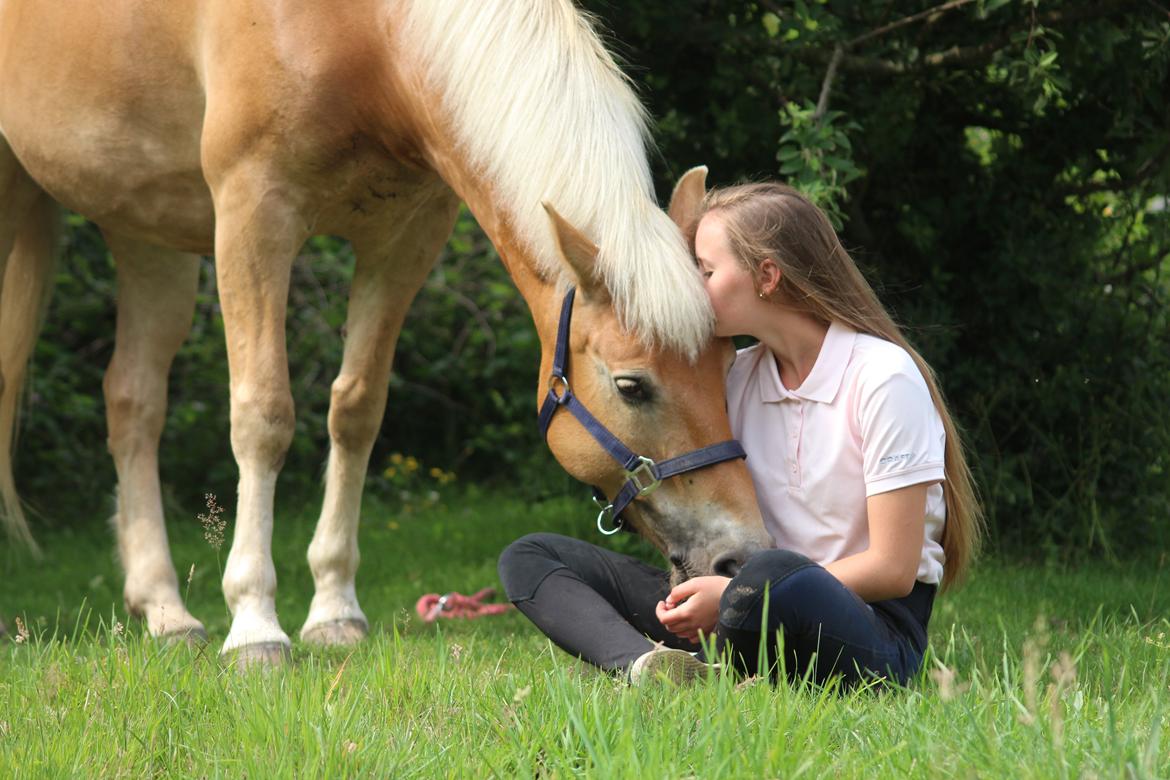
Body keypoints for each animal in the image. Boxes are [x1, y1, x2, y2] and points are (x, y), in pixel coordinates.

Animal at [0, 0, 772, 664]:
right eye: (632, 386)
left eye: (726, 366)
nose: (741, 554)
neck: (362, 34)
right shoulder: (254, 215)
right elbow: (264, 415)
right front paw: (255, 624)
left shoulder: (404, 236)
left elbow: (357, 410)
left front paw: (334, 611)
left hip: (146, 231)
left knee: (132, 400)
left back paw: (165, 611)